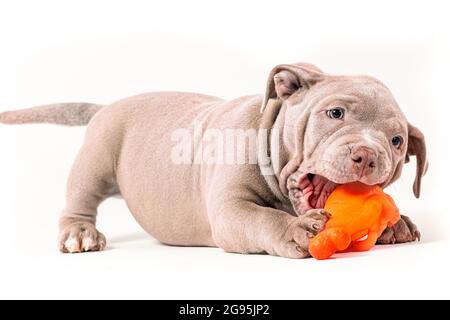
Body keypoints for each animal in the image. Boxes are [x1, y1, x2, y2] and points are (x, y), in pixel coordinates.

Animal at [0, 62, 426, 258]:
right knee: (80, 199)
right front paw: (295, 230)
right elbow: (262, 218)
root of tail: (106, 106)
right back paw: (80, 233)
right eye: (335, 113)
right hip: (97, 158)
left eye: (397, 141)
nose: (366, 157)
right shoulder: (229, 211)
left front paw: (396, 223)